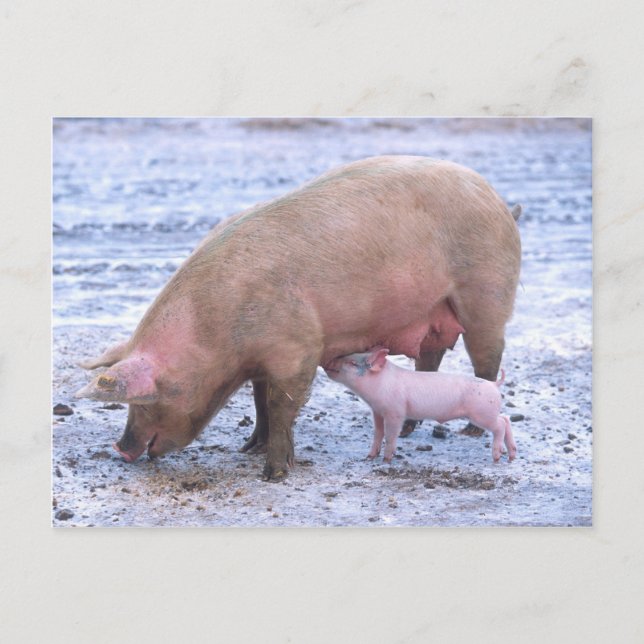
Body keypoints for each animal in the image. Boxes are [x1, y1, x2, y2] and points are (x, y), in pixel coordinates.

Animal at [325, 347, 516, 463]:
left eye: (352, 363)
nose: (328, 362)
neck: (380, 384)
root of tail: (494, 384)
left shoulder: (395, 411)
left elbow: (391, 435)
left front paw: (387, 460)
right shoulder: (377, 411)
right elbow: (378, 433)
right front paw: (370, 457)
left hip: (482, 413)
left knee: (500, 425)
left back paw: (497, 457)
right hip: (488, 412)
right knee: (506, 418)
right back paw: (511, 456)